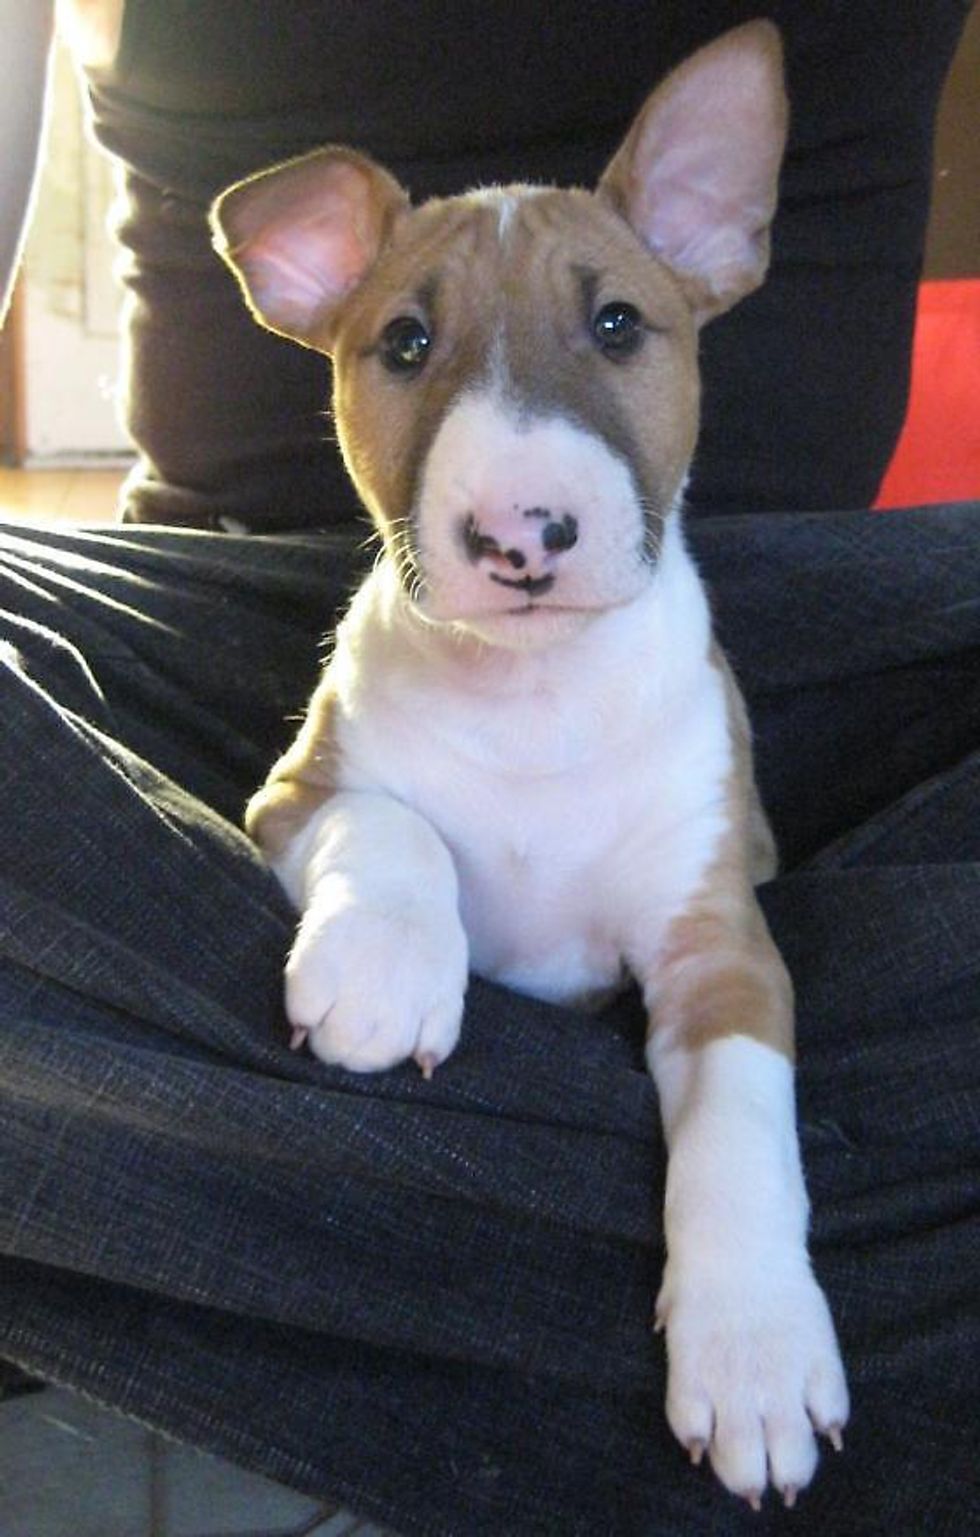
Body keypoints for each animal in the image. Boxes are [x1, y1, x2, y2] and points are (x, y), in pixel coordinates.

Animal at [212, 19, 848, 1508]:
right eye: (403, 341)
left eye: (618, 324)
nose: (520, 533)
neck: (533, 696)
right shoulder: (289, 799)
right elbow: (394, 827)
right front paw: (384, 971)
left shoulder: (721, 943)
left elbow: (743, 1130)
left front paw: (753, 1354)